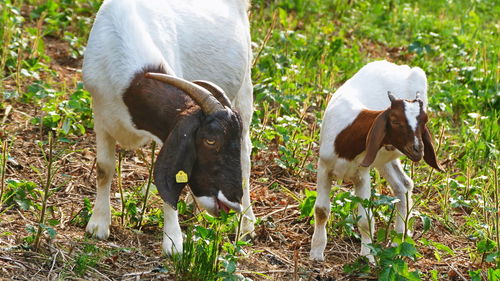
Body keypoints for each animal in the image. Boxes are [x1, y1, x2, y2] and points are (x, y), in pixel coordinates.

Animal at [83, 0, 254, 254]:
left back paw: (247, 226)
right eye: (210, 140)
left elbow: (174, 176)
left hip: (245, 88)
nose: (232, 204)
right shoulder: (101, 116)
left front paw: (173, 243)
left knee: (246, 154)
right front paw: (98, 225)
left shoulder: (168, 132)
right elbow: (104, 168)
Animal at [310, 59, 444, 260]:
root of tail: (403, 68)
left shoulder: (362, 174)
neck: (347, 137)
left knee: (403, 184)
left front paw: (367, 257)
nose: (418, 149)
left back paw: (399, 238)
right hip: (383, 158)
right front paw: (317, 253)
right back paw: (399, 238)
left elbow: (366, 220)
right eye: (395, 120)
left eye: (424, 121)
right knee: (403, 184)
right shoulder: (324, 167)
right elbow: (321, 210)